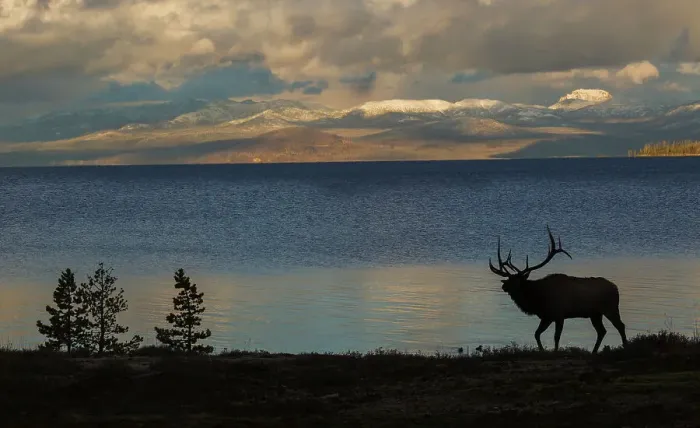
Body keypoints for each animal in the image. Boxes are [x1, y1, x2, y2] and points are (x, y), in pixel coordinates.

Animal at [488, 226, 628, 353]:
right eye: (508, 279)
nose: (503, 286)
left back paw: (625, 346)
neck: (537, 299)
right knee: (602, 331)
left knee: (620, 325)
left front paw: (555, 352)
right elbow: (536, 334)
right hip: (595, 314)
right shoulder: (547, 316)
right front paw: (542, 350)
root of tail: (616, 288)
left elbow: (556, 337)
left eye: (516, 280)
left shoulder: (559, 314)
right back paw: (594, 351)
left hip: (610, 308)